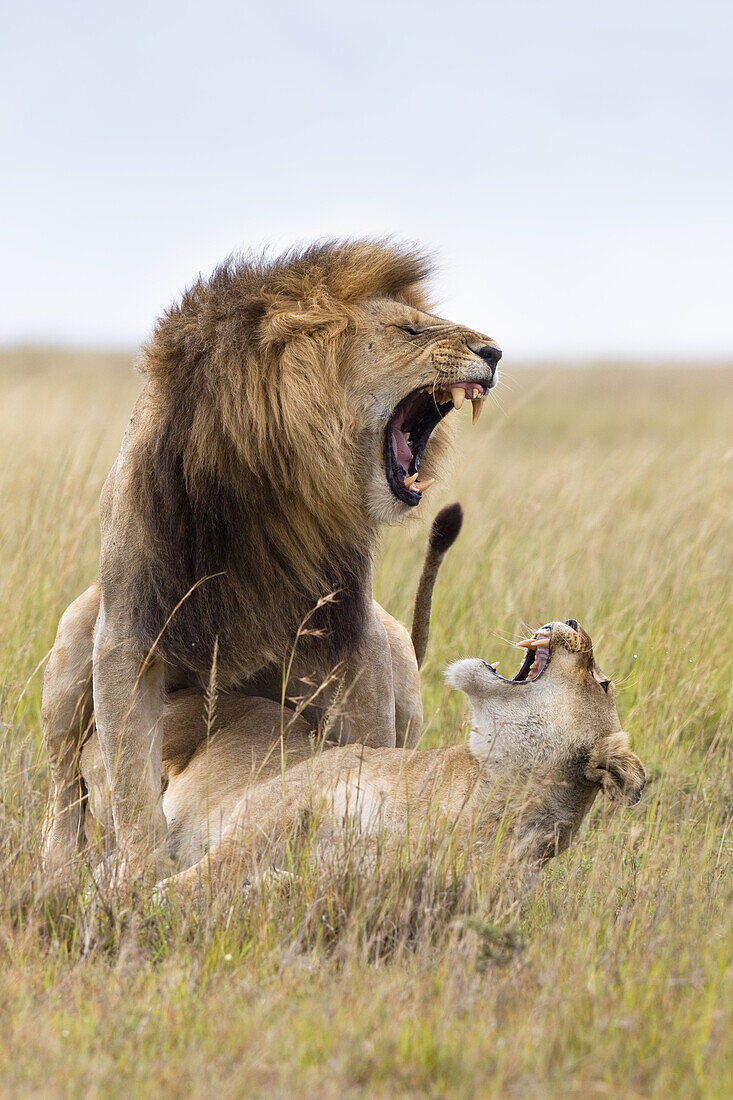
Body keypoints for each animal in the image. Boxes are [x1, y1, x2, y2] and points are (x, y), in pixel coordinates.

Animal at [44, 245, 497, 880]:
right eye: (410, 331)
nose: (495, 354)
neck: (270, 486)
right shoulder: (126, 633)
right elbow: (130, 783)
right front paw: (137, 873)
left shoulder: (352, 633)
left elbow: (368, 741)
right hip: (74, 636)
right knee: (65, 786)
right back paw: (57, 868)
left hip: (398, 658)